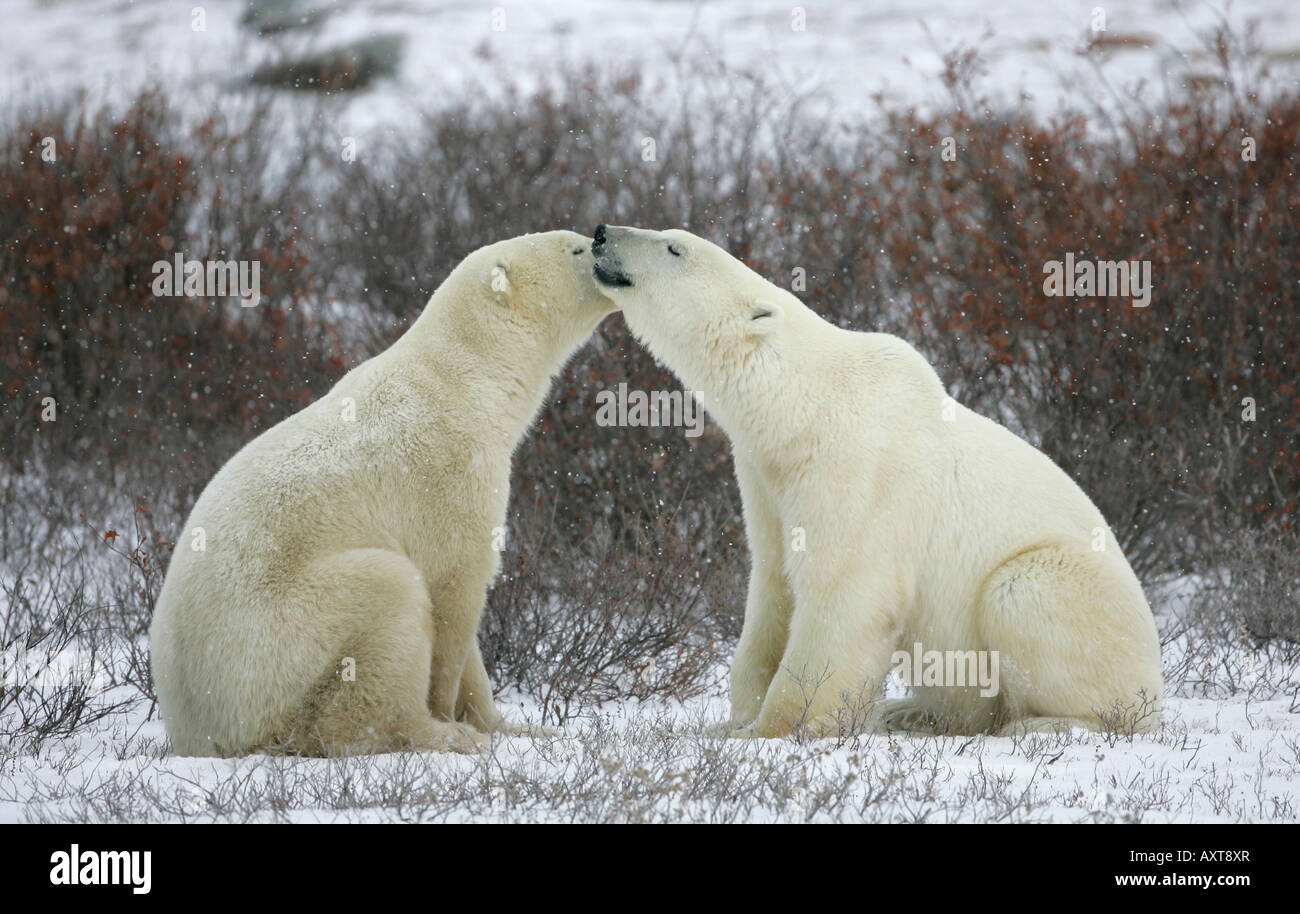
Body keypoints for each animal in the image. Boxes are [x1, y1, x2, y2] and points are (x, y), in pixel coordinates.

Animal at [149, 230, 616, 759]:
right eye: (575, 249)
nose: (599, 238)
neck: (466, 378)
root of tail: (196, 728)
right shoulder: (450, 470)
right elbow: (454, 584)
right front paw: (455, 717)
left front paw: (515, 726)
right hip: (283, 642)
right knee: (386, 606)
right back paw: (439, 733)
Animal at [590, 224, 1159, 738]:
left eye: (673, 247)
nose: (600, 233)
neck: (803, 407)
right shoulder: (765, 477)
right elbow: (772, 589)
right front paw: (729, 722)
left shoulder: (860, 469)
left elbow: (843, 595)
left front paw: (776, 728)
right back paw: (908, 712)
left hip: (1078, 598)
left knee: (1022, 596)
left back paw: (1044, 723)